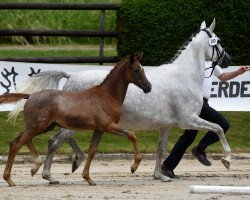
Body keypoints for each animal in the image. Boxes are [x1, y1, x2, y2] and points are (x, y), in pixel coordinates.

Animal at [0, 53, 150, 186]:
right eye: (136, 70)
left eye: (143, 69)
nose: (148, 87)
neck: (107, 96)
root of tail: (30, 96)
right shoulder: (109, 126)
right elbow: (132, 135)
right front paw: (134, 167)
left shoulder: (99, 129)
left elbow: (92, 151)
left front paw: (88, 178)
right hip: (37, 126)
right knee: (17, 144)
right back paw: (10, 179)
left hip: (43, 126)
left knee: (19, 140)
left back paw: (35, 167)